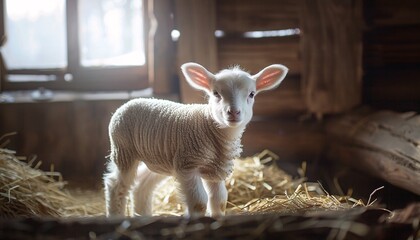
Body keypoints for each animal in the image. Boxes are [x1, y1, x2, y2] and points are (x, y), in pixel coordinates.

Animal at [104, 62, 288, 218]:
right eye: (216, 93)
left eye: (251, 94)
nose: (233, 112)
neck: (209, 125)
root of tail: (129, 102)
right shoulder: (188, 165)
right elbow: (199, 203)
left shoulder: (215, 170)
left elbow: (220, 201)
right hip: (124, 150)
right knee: (116, 185)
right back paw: (116, 217)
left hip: (158, 159)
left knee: (142, 184)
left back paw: (142, 216)